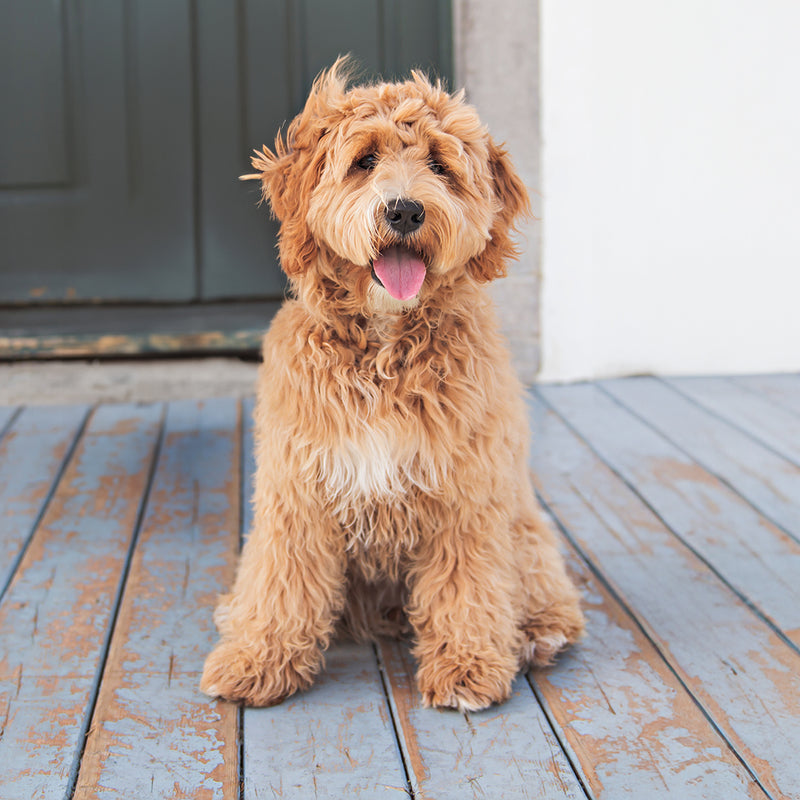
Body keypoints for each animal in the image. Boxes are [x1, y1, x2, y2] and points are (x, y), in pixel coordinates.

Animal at [200, 62, 584, 712]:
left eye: (440, 166)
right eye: (364, 160)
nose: (404, 211)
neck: (384, 347)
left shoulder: (466, 493)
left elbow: (467, 585)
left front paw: (466, 666)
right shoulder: (296, 488)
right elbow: (281, 578)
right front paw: (258, 658)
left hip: (525, 527)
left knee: (542, 589)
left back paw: (538, 633)